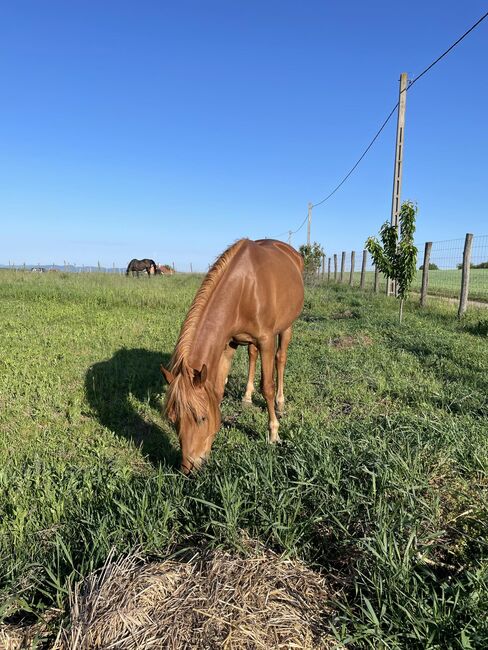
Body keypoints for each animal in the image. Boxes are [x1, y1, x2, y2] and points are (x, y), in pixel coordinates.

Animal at [162, 238, 304, 470]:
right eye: (174, 420)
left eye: (202, 418)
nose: (188, 468)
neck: (245, 287)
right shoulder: (228, 343)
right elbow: (218, 389)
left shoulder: (266, 340)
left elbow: (268, 387)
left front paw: (274, 433)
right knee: (252, 355)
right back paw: (246, 397)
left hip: (287, 326)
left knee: (281, 359)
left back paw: (280, 404)